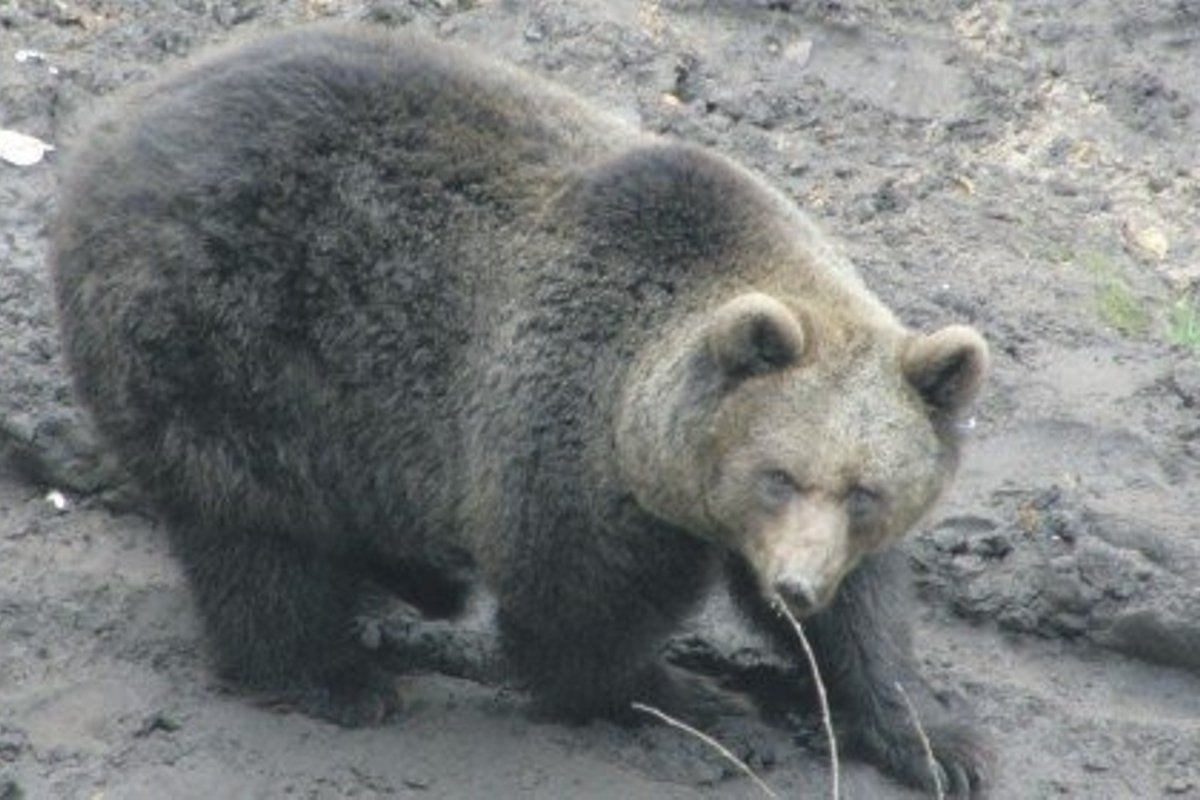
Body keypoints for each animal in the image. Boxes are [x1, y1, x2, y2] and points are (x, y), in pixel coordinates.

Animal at [54, 21, 984, 796]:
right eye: (777, 476)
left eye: (864, 491)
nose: (795, 584)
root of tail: (110, 130)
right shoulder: (564, 434)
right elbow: (572, 612)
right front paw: (686, 692)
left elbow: (866, 617)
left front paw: (933, 739)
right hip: (229, 339)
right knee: (255, 527)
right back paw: (335, 675)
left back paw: (414, 583)